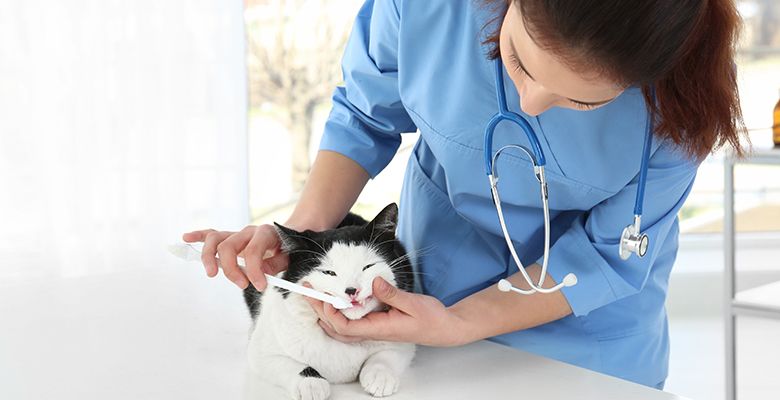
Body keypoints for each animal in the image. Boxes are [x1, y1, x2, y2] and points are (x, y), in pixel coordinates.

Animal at [244, 205, 418, 398]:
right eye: (329, 273)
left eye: (368, 267)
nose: (352, 290)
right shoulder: (261, 352)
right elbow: (291, 365)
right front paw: (311, 384)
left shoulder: (403, 342)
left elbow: (385, 355)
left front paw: (380, 375)